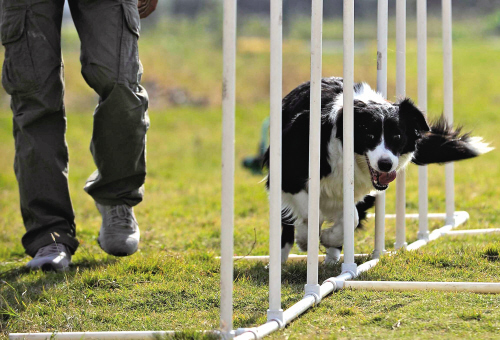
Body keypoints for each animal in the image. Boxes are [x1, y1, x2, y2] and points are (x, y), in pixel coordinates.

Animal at [266, 77, 492, 266]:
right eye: (369, 135)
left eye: (397, 136)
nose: (385, 164)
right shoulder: (288, 175)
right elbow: (310, 214)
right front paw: (305, 238)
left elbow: (352, 219)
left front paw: (329, 238)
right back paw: (280, 260)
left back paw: (332, 258)